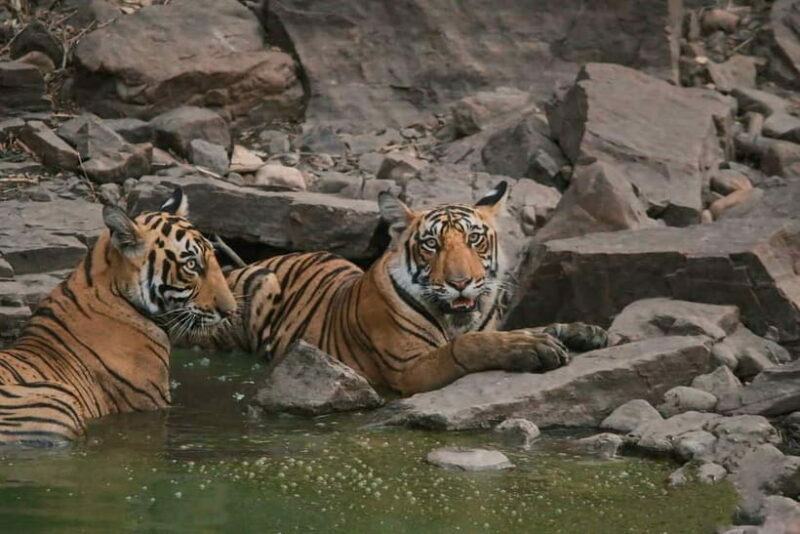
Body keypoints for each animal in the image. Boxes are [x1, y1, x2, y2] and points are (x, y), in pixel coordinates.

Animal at [218, 181, 608, 396]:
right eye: (432, 244)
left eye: (474, 239)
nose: (460, 283)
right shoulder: (409, 368)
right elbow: (466, 346)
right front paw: (530, 348)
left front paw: (582, 331)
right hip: (261, 285)